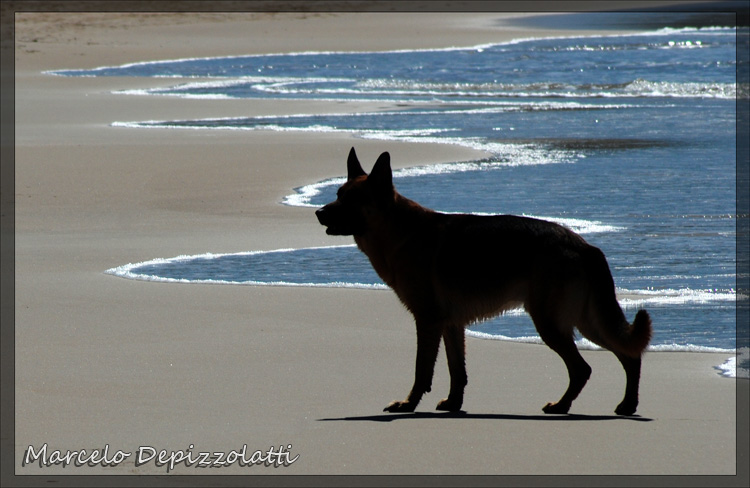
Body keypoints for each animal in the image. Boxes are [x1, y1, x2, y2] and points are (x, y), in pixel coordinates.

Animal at [318, 148, 652, 416]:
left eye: (353, 199)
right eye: (338, 194)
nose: (319, 213)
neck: (399, 231)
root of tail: (583, 245)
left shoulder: (427, 321)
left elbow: (422, 370)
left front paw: (409, 404)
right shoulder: (450, 324)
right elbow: (457, 371)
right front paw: (454, 404)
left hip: (552, 324)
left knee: (583, 368)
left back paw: (562, 406)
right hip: (587, 321)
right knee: (629, 356)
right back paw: (627, 405)